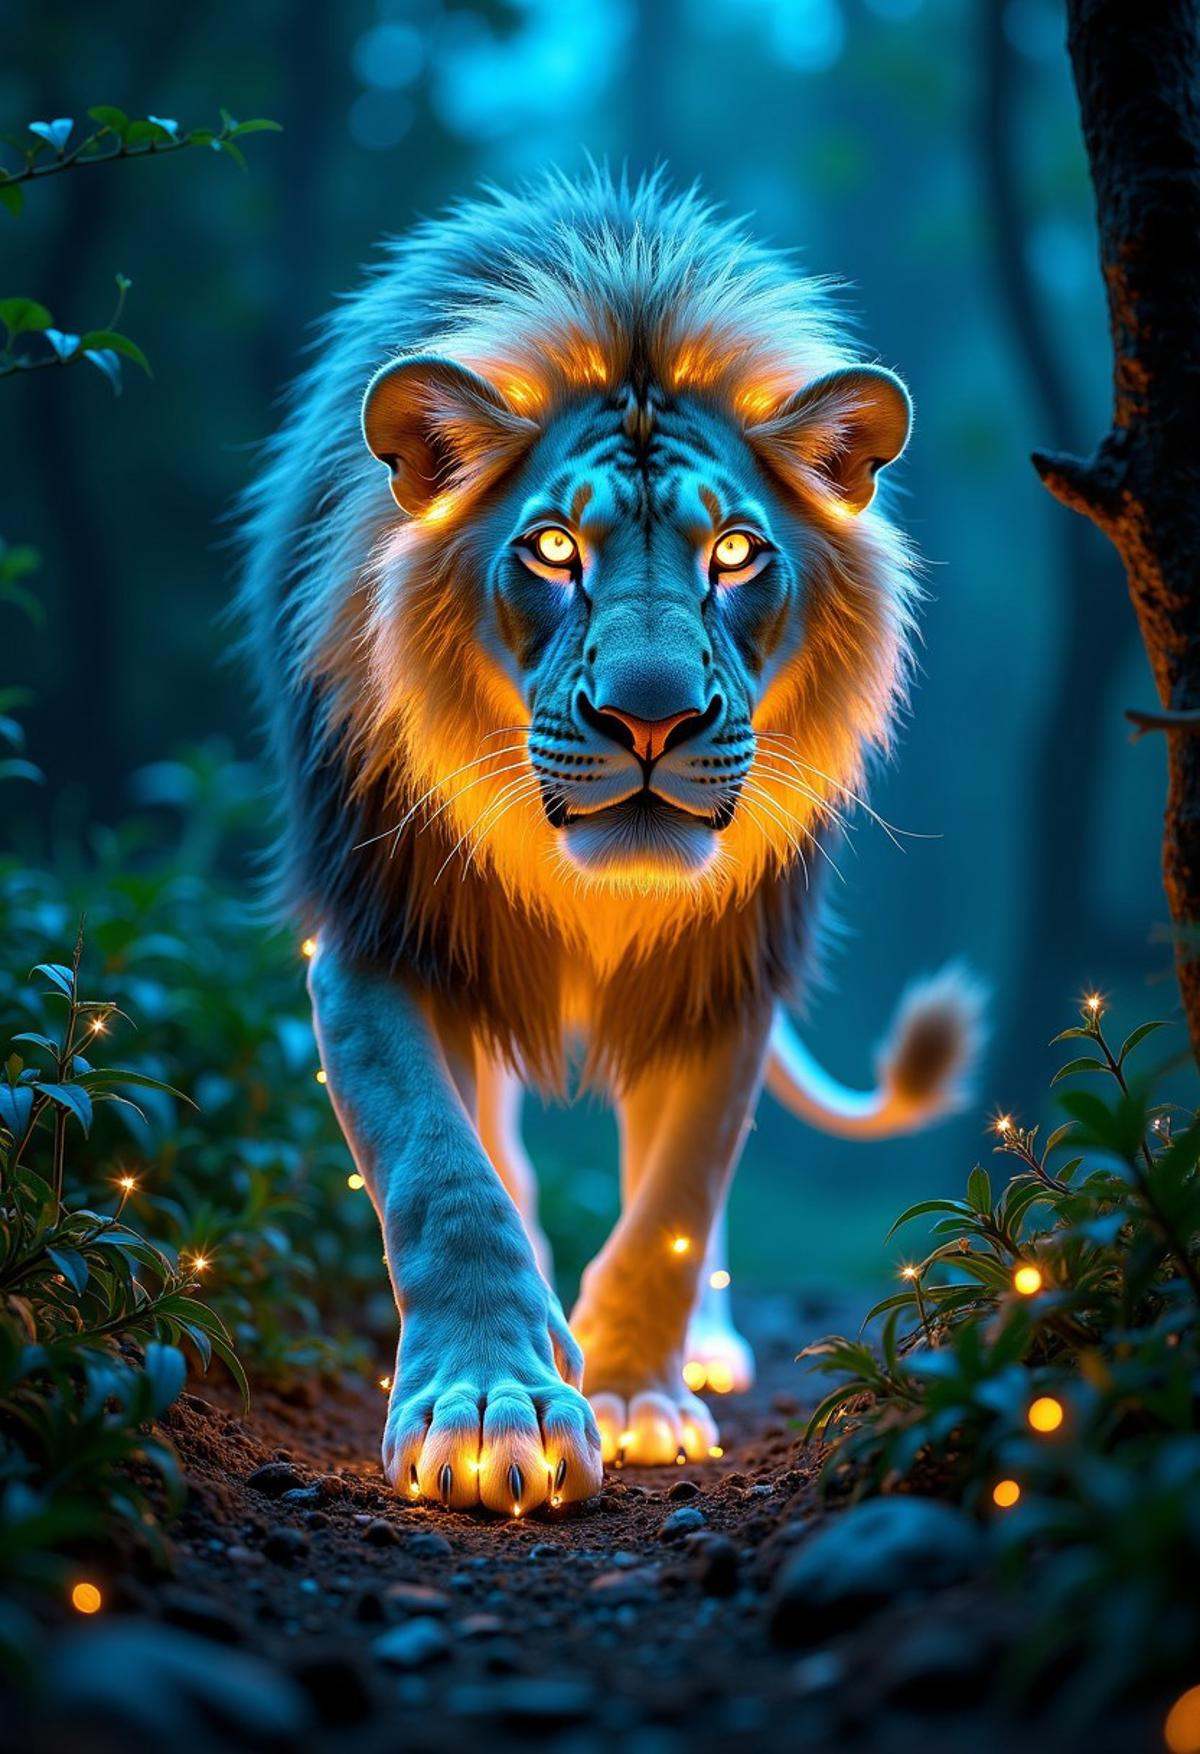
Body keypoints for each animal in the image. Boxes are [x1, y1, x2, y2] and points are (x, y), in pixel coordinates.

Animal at [239, 169, 981, 1514]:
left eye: (735, 552)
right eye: (551, 549)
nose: (648, 716)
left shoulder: (730, 967)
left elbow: (677, 1198)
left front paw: (640, 1395)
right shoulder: (375, 935)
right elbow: (442, 1172)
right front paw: (491, 1405)